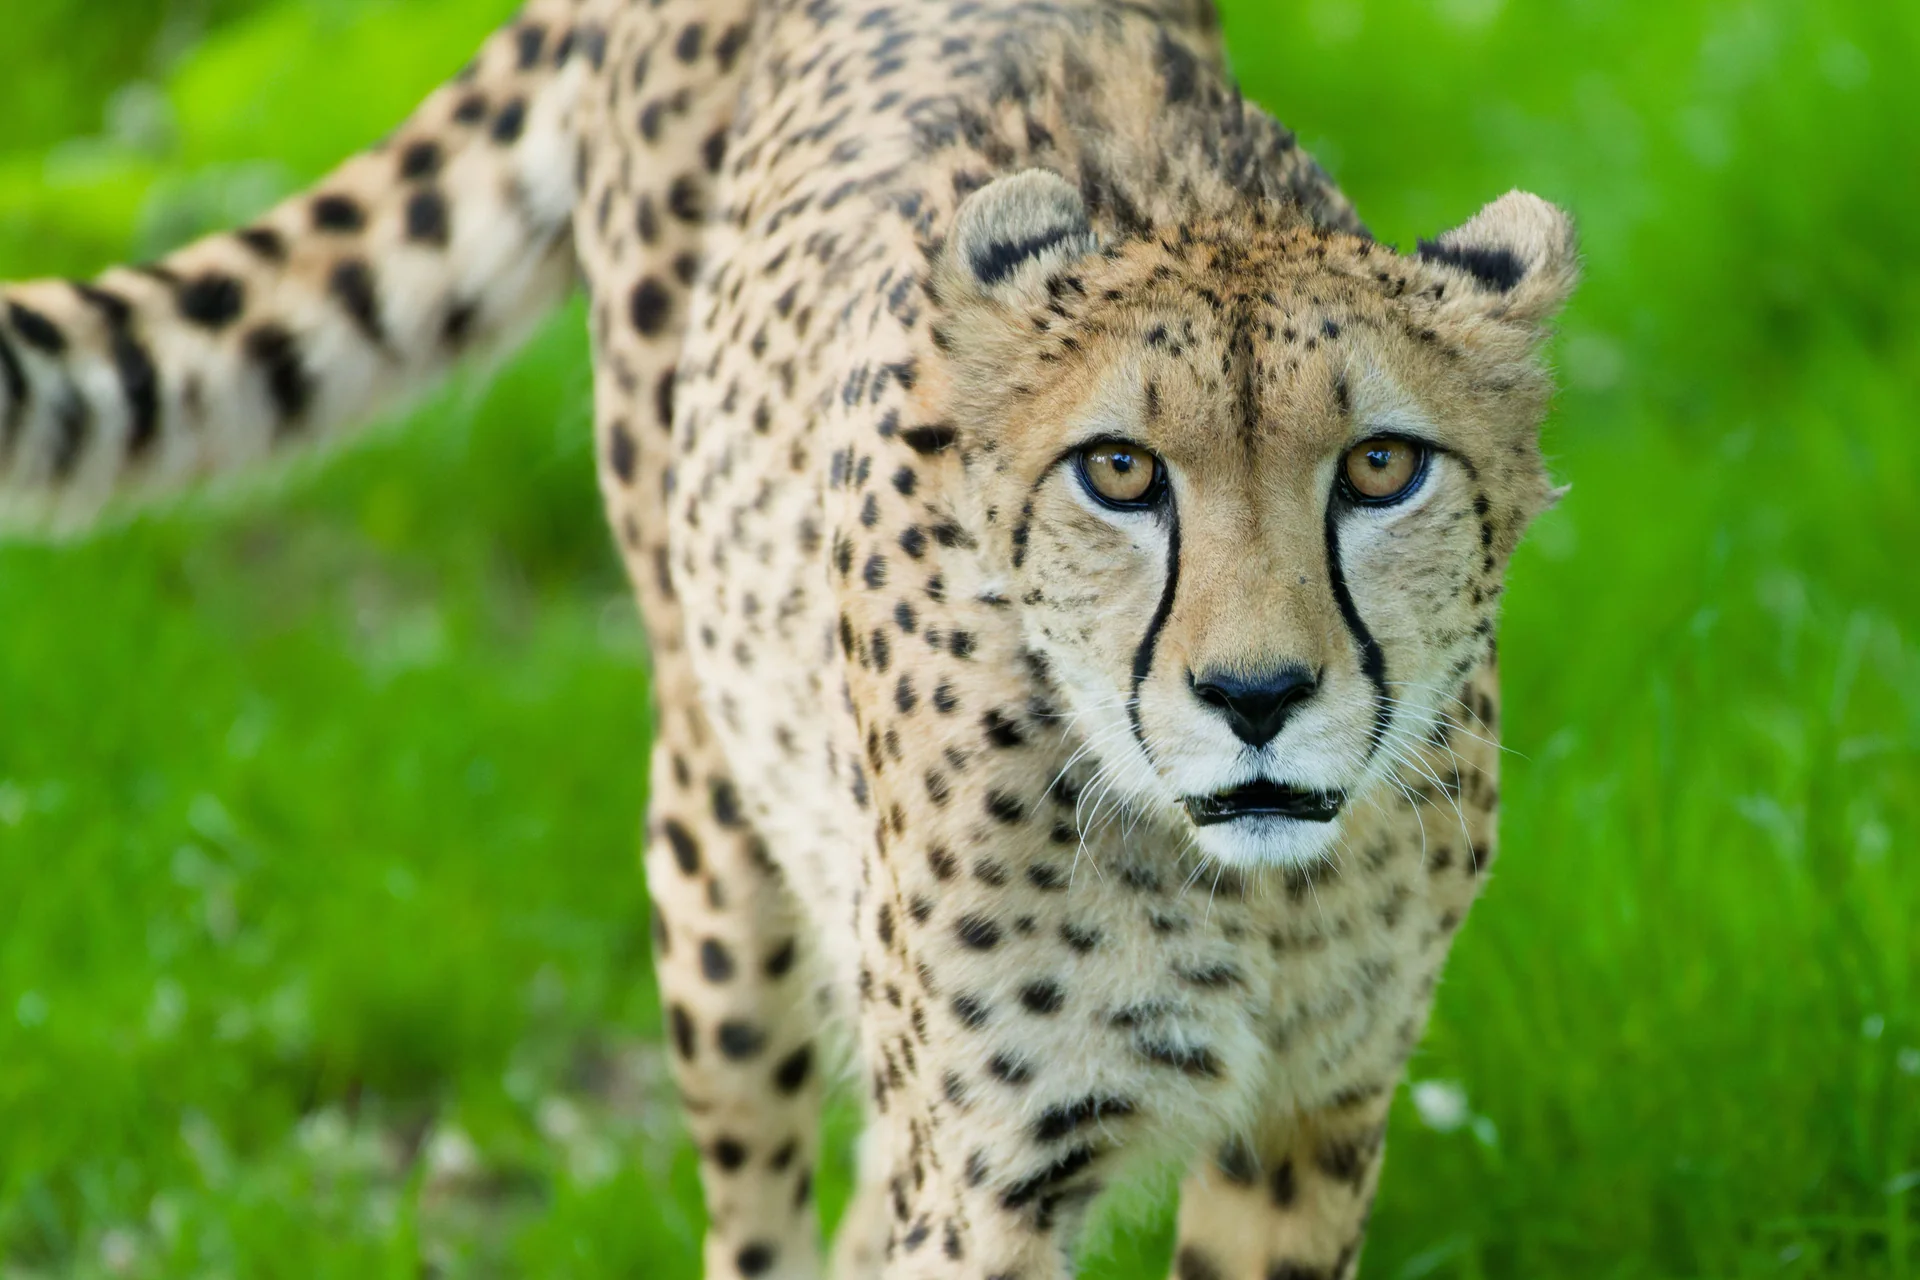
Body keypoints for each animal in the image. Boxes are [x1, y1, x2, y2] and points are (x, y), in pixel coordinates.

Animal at [0, 0, 1580, 1276]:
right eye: (1120, 471)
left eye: (1382, 466)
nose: (1256, 695)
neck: (1247, 887)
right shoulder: (993, 1173)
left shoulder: (1314, 1117)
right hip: (718, 831)